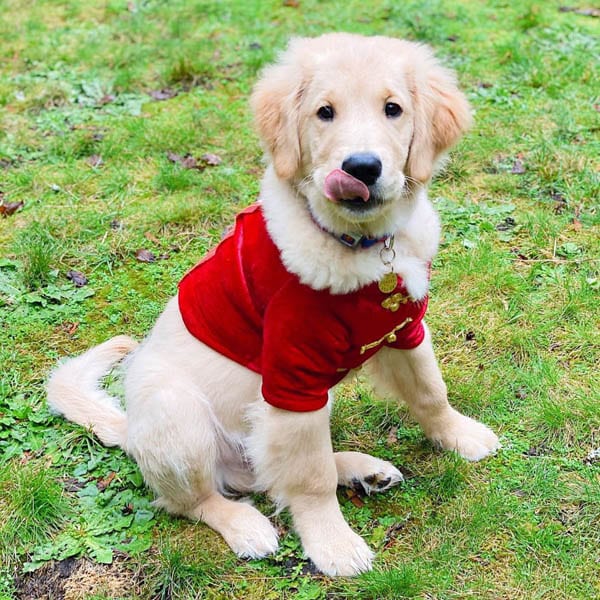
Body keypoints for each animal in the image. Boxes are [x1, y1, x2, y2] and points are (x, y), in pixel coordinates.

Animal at [47, 34, 500, 576]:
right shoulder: (290, 380)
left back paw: (363, 470)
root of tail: (130, 431)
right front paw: (333, 545)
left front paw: (459, 435)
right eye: (324, 112)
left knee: (269, 471)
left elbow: (431, 391)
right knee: (198, 499)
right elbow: (309, 478)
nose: (361, 168)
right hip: (177, 414)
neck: (361, 247)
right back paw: (246, 525)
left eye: (393, 109)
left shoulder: (405, 329)